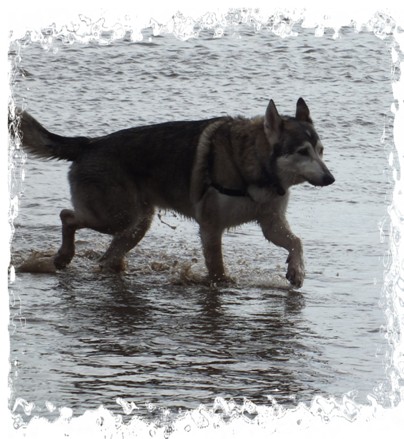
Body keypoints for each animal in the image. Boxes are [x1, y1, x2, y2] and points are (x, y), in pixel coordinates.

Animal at [12, 97, 334, 288]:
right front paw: (221, 285)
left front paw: (297, 271)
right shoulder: (211, 228)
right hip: (116, 217)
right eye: (302, 152)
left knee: (108, 254)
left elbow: (296, 242)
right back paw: (64, 256)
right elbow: (217, 268)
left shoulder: (271, 222)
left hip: (135, 223)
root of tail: (90, 143)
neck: (255, 164)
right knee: (66, 215)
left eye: (320, 151)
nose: (330, 178)